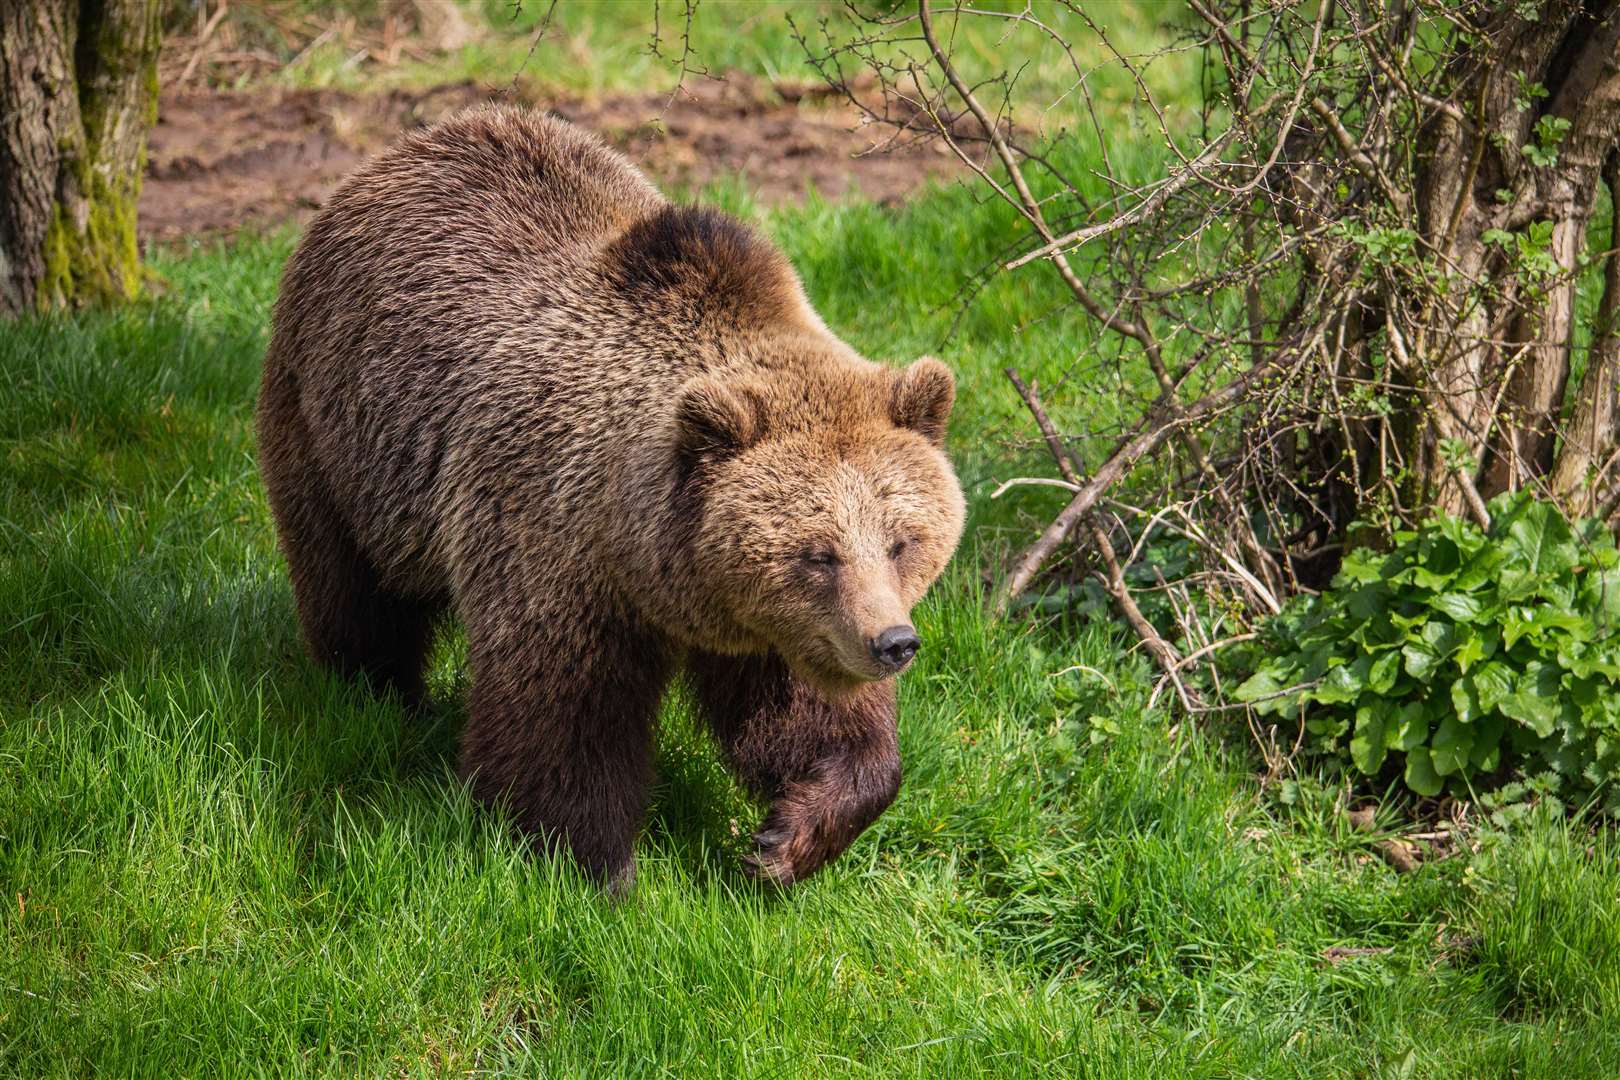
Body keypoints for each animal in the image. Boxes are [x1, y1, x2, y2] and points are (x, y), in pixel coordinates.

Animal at [252, 105, 959, 893]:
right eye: (818, 553)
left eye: (902, 541)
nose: (893, 641)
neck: (644, 555)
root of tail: (400, 153)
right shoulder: (551, 538)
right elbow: (564, 718)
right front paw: (597, 868)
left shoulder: (771, 625)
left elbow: (807, 713)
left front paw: (785, 838)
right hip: (338, 435)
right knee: (356, 590)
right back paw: (378, 696)